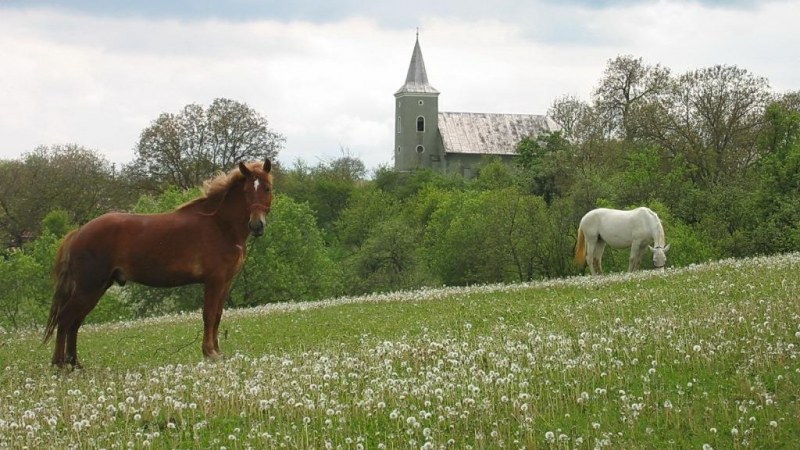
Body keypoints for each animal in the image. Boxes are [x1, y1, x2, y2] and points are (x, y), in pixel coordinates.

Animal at [44, 160, 276, 368]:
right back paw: (60, 365)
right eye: (246, 190)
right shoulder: (214, 281)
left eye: (267, 188)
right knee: (65, 320)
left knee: (74, 323)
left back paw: (74, 364)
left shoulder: (225, 283)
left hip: (96, 288)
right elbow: (209, 315)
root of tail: (78, 233)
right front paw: (209, 353)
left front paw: (217, 352)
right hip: (88, 287)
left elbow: (217, 315)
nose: (257, 225)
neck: (220, 225)